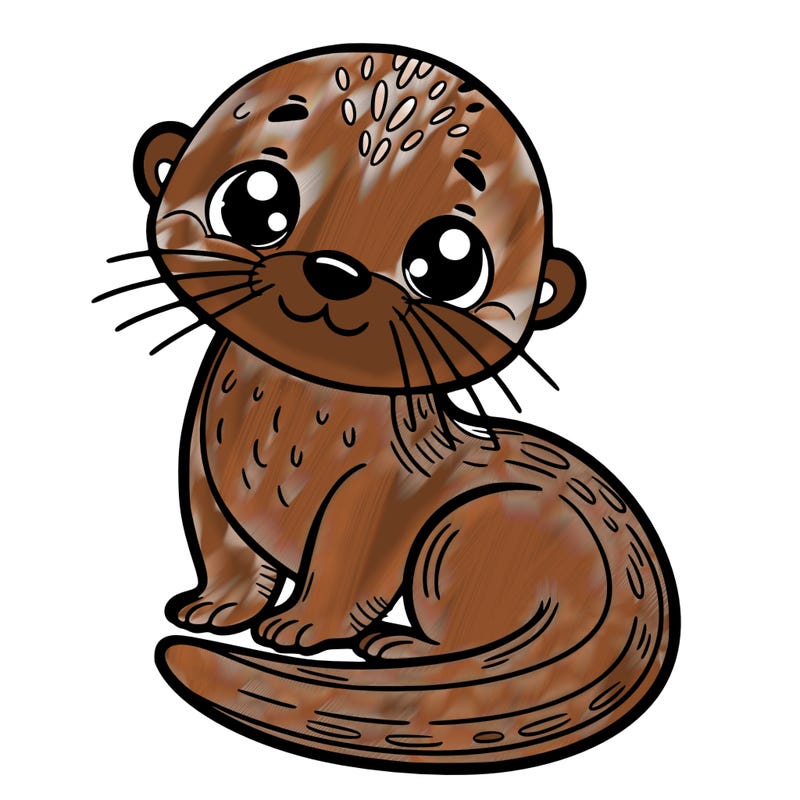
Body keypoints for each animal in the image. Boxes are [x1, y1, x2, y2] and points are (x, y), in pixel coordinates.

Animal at [101, 44, 679, 773]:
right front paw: (215, 608)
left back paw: (403, 647)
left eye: (449, 263)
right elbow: (223, 547)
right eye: (255, 201)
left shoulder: (379, 493)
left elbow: (346, 566)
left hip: (468, 529)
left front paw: (301, 626)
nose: (335, 269)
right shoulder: (204, 467)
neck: (287, 430)